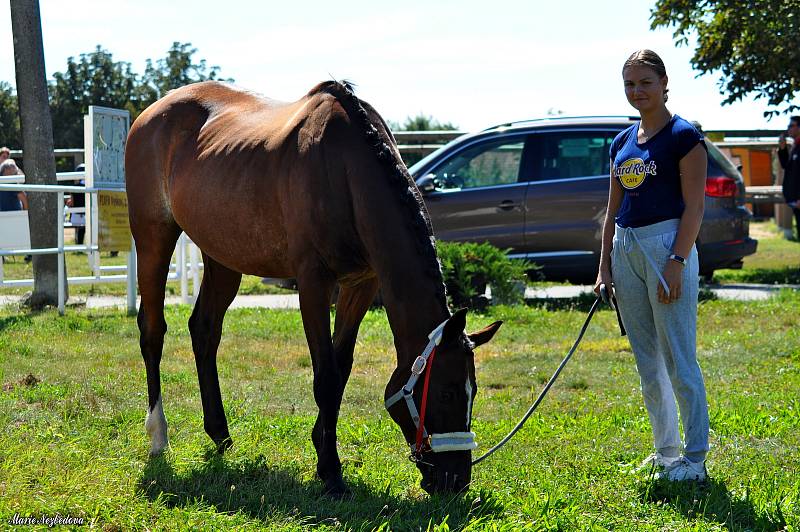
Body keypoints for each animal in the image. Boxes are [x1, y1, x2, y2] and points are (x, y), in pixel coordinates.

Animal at [124, 79, 500, 494]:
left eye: (473, 391)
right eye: (447, 391)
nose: (456, 479)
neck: (347, 172)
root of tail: (151, 112)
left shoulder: (361, 285)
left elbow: (341, 368)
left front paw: (323, 451)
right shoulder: (313, 284)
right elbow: (326, 375)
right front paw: (332, 472)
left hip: (223, 257)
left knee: (204, 330)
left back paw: (220, 433)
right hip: (153, 237)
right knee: (153, 331)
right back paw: (159, 436)